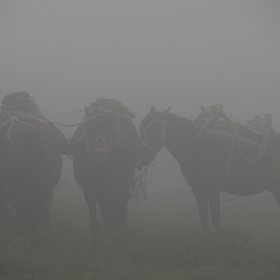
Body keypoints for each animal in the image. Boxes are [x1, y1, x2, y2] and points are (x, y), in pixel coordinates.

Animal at [71, 105, 139, 245]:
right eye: (90, 133)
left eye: (109, 134)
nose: (100, 161)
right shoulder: (89, 191)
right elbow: (94, 222)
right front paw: (94, 244)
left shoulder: (114, 191)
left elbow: (111, 220)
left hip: (123, 189)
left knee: (121, 211)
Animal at [139, 106, 280, 231]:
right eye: (141, 127)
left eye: (153, 129)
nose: (141, 156)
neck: (195, 145)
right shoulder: (197, 188)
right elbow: (204, 217)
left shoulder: (213, 188)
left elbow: (215, 218)